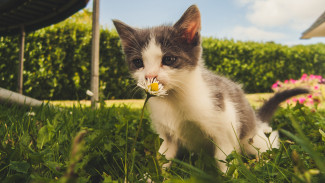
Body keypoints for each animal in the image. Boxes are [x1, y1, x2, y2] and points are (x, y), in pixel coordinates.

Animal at [112, 5, 308, 172]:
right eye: (138, 62)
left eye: (168, 59)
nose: (150, 76)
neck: (174, 99)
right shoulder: (167, 136)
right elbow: (162, 158)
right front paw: (150, 176)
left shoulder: (225, 126)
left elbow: (225, 160)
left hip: (251, 136)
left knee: (267, 140)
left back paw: (263, 162)